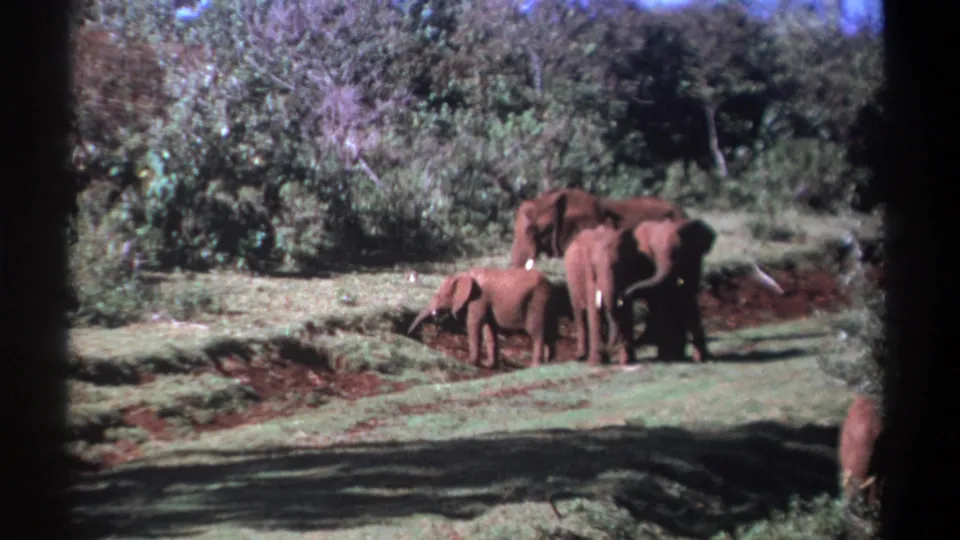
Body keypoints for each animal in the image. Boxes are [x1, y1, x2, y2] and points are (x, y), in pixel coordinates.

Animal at [407, 267, 558, 369]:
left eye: (438, 296)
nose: (410, 335)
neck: (464, 275)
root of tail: (550, 284)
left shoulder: (478, 299)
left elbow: (474, 325)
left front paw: (470, 362)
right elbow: (489, 329)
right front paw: (489, 364)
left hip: (537, 300)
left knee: (536, 331)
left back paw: (535, 365)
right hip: (547, 302)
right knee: (550, 330)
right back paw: (550, 362)